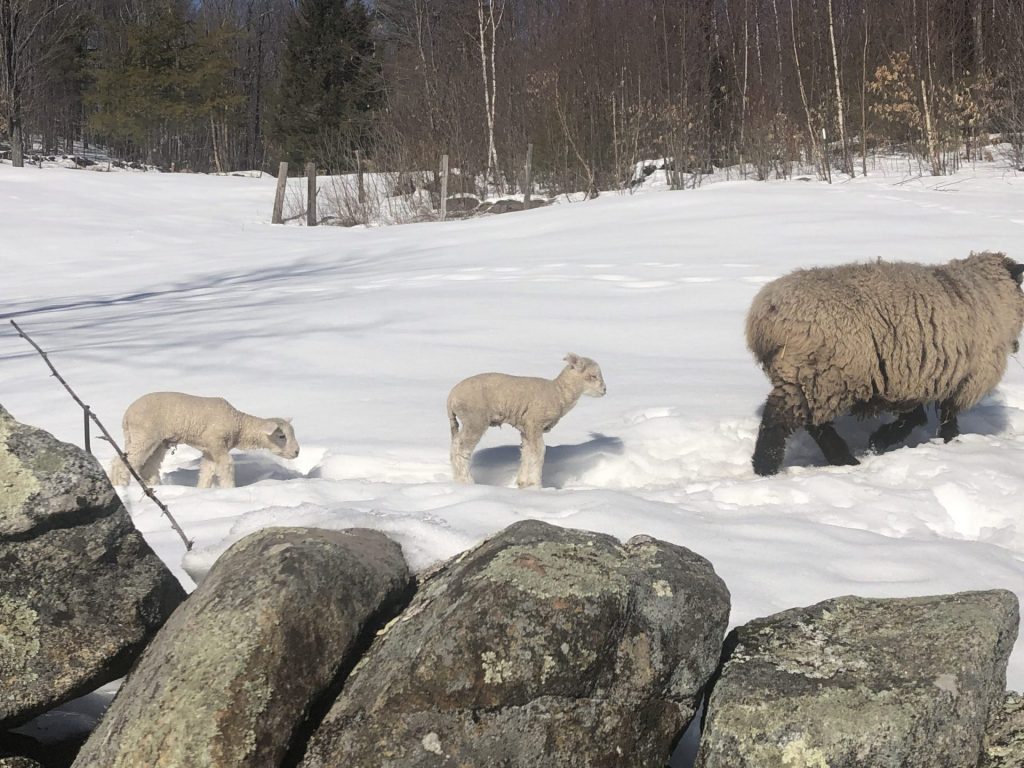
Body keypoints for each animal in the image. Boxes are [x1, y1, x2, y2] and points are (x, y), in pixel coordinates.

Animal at [109, 392, 299, 489]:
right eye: (281, 436)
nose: (297, 452)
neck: (238, 424)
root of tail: (126, 416)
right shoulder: (216, 442)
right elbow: (226, 466)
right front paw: (229, 490)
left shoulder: (209, 450)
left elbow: (207, 471)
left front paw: (202, 490)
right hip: (145, 434)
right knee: (121, 461)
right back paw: (121, 486)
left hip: (155, 441)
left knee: (147, 467)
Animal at [447, 353, 607, 488]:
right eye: (593, 376)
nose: (604, 390)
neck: (558, 393)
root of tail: (451, 397)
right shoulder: (534, 423)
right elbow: (539, 452)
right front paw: (536, 485)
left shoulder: (525, 427)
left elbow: (527, 452)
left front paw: (523, 482)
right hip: (475, 419)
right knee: (461, 449)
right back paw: (467, 481)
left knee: (454, 445)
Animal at [746, 251, 1024, 476]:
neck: (988, 291)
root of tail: (764, 314)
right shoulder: (962, 377)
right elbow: (943, 417)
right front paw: (946, 444)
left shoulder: (914, 376)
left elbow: (917, 416)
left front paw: (880, 439)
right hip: (823, 373)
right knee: (779, 419)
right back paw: (768, 467)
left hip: (808, 376)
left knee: (812, 423)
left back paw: (840, 458)